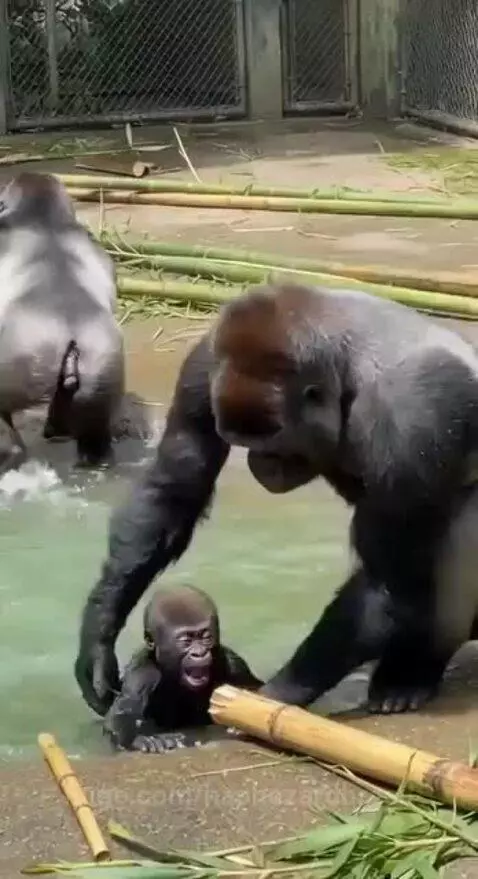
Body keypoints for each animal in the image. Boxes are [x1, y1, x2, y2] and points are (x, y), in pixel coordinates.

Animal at [75, 280, 478, 718]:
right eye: (246, 443)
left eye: (276, 445)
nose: (259, 465)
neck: (345, 372)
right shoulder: (206, 360)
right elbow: (175, 488)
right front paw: (98, 639)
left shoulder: (416, 416)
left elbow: (384, 579)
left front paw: (276, 696)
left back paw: (413, 670)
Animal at [102, 584, 262, 753]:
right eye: (186, 641)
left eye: (206, 638)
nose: (199, 653)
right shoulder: (141, 672)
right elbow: (123, 712)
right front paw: (137, 739)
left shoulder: (234, 664)